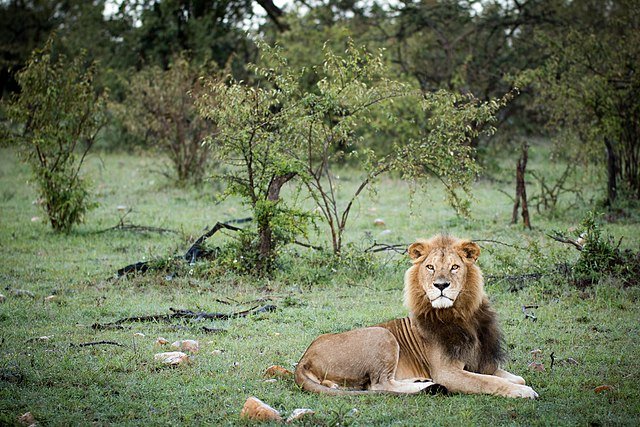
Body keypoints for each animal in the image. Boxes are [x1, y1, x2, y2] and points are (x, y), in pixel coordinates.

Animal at [294, 234, 538, 398]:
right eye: (430, 267)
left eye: (455, 267)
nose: (441, 285)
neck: (462, 314)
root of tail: (304, 357)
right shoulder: (447, 372)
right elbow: (488, 382)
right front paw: (522, 391)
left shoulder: (480, 363)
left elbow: (514, 376)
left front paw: (519, 384)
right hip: (382, 335)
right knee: (380, 385)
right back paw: (428, 386)